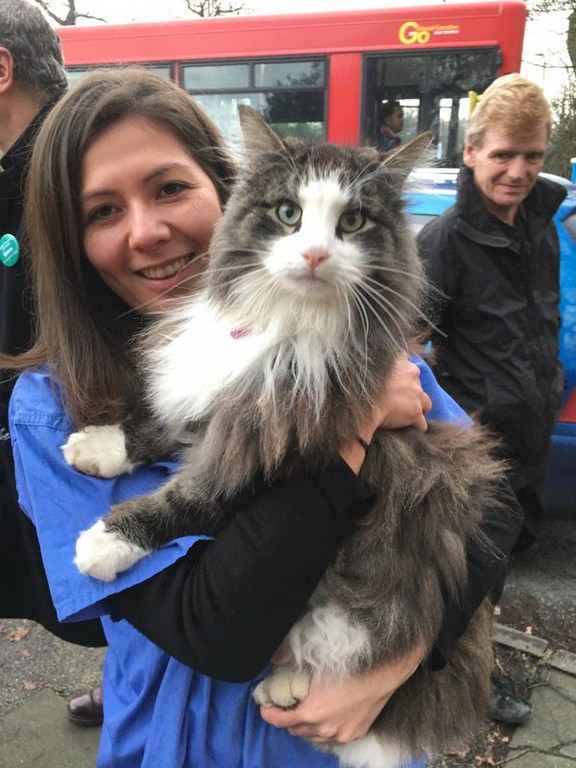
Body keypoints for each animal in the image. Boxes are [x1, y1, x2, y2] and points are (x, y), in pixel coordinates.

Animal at [63, 106, 502, 768]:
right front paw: (98, 447)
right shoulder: (227, 404)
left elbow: (186, 499)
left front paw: (106, 542)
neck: (288, 323)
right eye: (288, 213)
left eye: (353, 221)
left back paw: (287, 687)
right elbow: (161, 426)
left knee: (339, 648)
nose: (316, 254)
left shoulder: (270, 449)